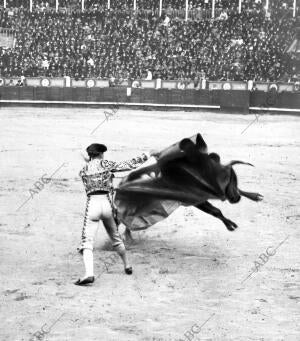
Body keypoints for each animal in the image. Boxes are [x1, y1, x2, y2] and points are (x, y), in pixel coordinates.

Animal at [113, 133, 264, 231]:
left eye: (234, 179)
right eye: (230, 179)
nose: (235, 198)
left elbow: (216, 209)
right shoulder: (197, 199)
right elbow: (215, 211)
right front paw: (230, 225)